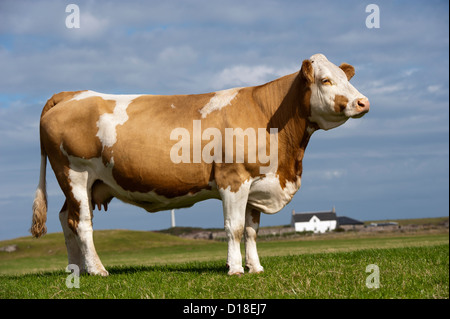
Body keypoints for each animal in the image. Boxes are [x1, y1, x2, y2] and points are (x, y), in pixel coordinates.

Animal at [30, 53, 370, 276]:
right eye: (326, 80)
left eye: (346, 79)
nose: (363, 102)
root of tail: (70, 94)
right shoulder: (233, 179)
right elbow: (234, 228)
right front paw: (235, 269)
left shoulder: (256, 184)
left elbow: (251, 231)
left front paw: (256, 267)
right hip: (75, 173)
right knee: (82, 223)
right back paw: (98, 270)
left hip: (86, 184)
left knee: (65, 219)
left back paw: (76, 270)